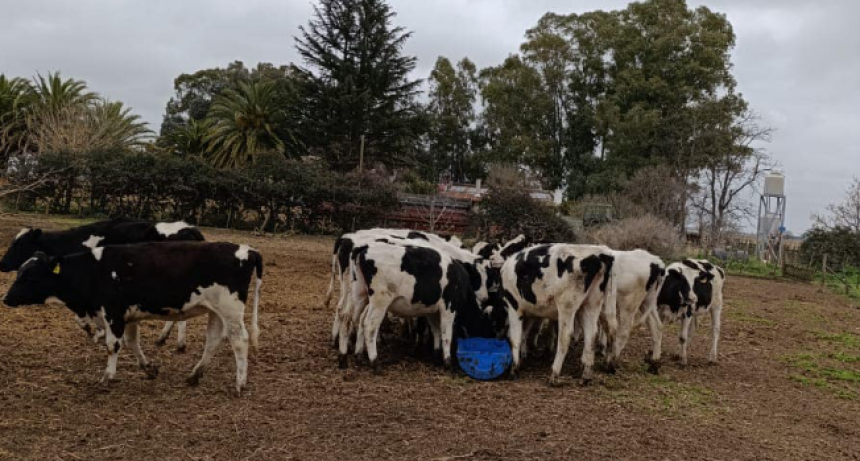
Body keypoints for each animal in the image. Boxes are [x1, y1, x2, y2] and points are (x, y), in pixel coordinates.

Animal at [0, 217, 205, 346]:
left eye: (19, 244)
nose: (2, 264)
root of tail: (190, 229)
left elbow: (83, 317)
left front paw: (95, 331)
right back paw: (164, 339)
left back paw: (177, 343)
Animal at [2, 241, 262, 396]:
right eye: (20, 272)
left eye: (29, 276)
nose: (6, 298)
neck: (94, 270)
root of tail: (247, 250)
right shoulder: (129, 315)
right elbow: (132, 342)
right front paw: (148, 368)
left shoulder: (113, 312)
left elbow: (113, 345)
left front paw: (107, 377)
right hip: (215, 311)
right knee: (214, 340)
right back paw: (194, 375)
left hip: (230, 309)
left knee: (239, 340)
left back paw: (240, 383)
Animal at [346, 239, 500, 372]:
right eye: (489, 327)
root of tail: (365, 247)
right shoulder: (449, 307)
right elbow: (446, 333)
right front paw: (447, 361)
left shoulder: (432, 310)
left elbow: (436, 330)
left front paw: (436, 355)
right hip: (380, 301)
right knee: (370, 325)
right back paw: (374, 361)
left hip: (362, 297)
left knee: (359, 320)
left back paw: (358, 354)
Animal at [500, 243, 616, 382]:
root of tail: (599, 254)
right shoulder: (530, 311)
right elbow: (524, 333)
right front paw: (523, 357)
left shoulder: (514, 306)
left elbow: (515, 338)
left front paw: (514, 369)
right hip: (594, 303)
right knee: (597, 333)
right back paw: (589, 373)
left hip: (567, 304)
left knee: (565, 336)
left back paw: (554, 374)